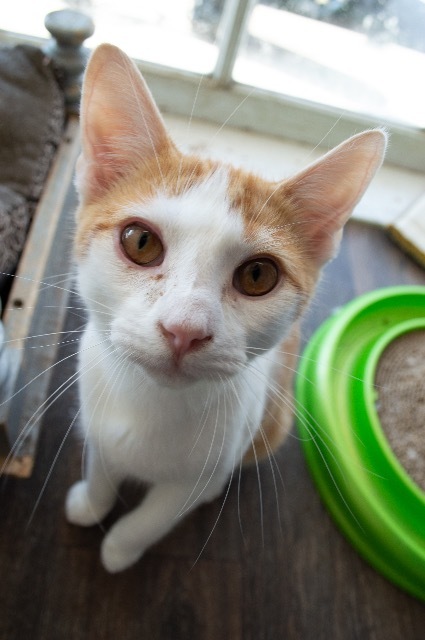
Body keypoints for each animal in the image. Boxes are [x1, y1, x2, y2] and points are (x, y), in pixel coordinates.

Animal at [64, 42, 386, 572]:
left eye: (258, 276)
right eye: (140, 242)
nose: (184, 329)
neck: (150, 402)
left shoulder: (202, 469)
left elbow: (156, 515)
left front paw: (120, 548)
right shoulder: (95, 414)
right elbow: (101, 465)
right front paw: (91, 502)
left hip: (271, 424)